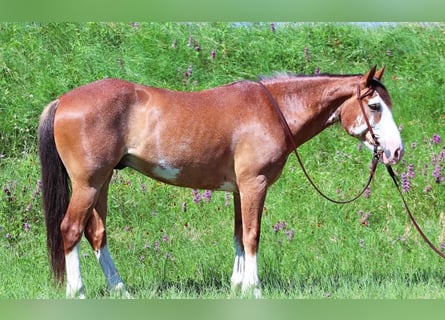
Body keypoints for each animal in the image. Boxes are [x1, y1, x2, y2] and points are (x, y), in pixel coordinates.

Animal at [39, 65, 402, 298]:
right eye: (374, 105)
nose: (396, 151)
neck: (274, 110)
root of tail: (63, 101)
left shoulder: (241, 190)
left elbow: (239, 236)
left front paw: (238, 286)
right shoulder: (255, 183)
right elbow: (253, 235)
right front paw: (254, 289)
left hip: (102, 183)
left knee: (96, 233)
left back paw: (120, 290)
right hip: (88, 184)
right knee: (70, 229)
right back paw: (78, 292)